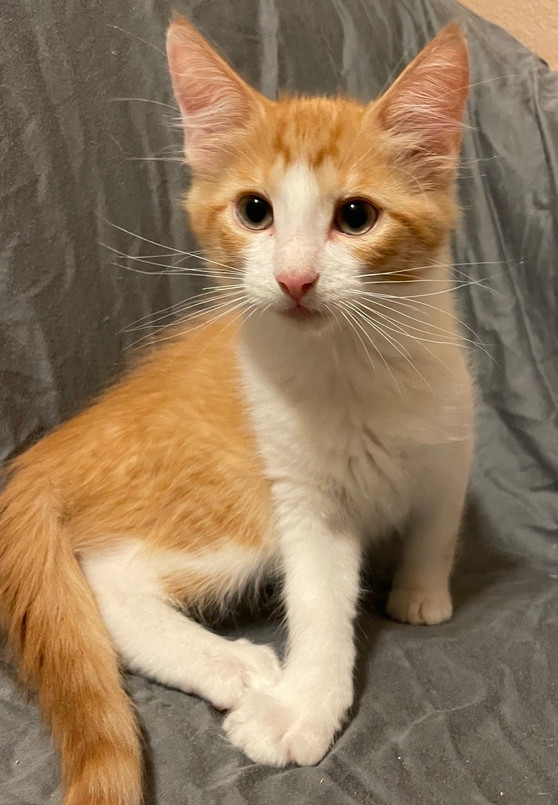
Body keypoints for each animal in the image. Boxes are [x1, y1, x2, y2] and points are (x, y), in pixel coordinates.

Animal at [0, 17, 476, 804]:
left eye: (356, 216)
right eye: (256, 211)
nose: (294, 278)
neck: (352, 365)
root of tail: (50, 450)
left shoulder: (452, 441)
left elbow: (436, 528)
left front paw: (420, 593)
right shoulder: (301, 498)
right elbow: (319, 605)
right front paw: (303, 708)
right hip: (228, 497)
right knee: (106, 575)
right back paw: (230, 665)